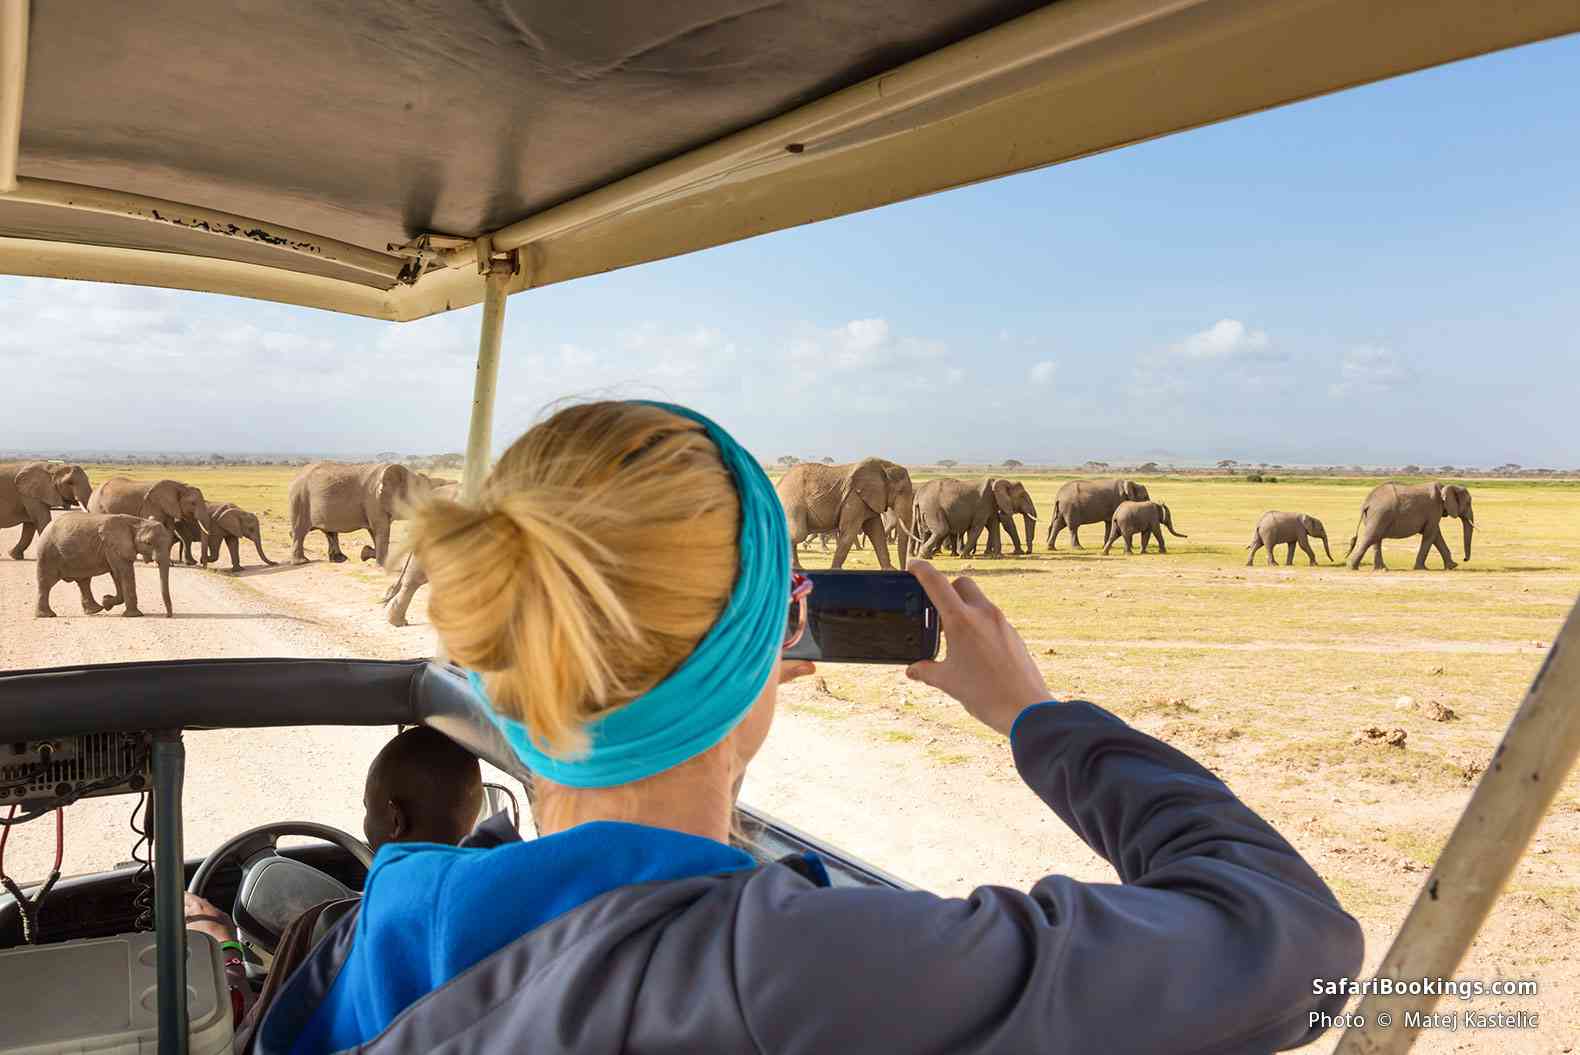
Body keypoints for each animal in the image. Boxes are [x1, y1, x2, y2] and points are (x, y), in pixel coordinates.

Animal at [34, 513, 174, 618]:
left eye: (170, 542)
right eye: (148, 543)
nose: (168, 616)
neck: (136, 522)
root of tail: (47, 526)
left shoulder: (113, 548)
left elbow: (116, 573)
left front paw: (106, 601)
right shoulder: (113, 546)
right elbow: (124, 571)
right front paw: (134, 615)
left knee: (83, 582)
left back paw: (95, 610)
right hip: (48, 552)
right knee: (46, 583)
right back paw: (47, 615)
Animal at [288, 462, 430, 566]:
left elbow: (374, 531)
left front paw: (366, 554)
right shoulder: (373, 500)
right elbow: (380, 529)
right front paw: (381, 564)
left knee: (329, 532)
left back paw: (340, 559)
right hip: (299, 499)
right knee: (299, 531)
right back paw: (301, 562)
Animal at [777, 458, 914, 571]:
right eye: (901, 491)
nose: (903, 570)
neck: (884, 466)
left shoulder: (868, 500)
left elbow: (876, 532)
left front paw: (889, 570)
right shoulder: (854, 498)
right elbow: (849, 531)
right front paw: (835, 570)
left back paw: (797, 568)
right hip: (792, 503)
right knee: (798, 534)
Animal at [1345, 482, 1473, 571]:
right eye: (1468, 503)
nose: (1464, 559)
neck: (1446, 486)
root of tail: (1367, 502)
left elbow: (1436, 535)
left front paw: (1452, 566)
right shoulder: (1434, 509)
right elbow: (1430, 534)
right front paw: (1422, 569)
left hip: (1375, 516)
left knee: (1376, 539)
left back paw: (1381, 569)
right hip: (1380, 514)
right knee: (1371, 537)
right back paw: (1353, 568)